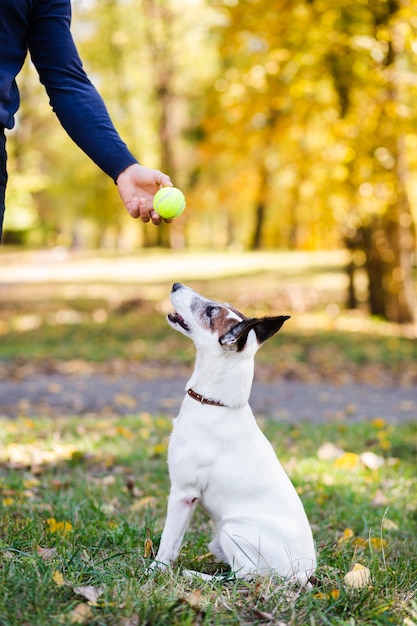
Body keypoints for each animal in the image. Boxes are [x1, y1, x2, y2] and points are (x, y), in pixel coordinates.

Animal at [151, 282, 316, 580]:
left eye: (210, 311)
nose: (176, 285)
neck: (215, 403)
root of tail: (302, 573)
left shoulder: (183, 493)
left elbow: (168, 543)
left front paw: (153, 571)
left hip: (232, 530)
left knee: (244, 576)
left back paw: (195, 576)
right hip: (218, 539)